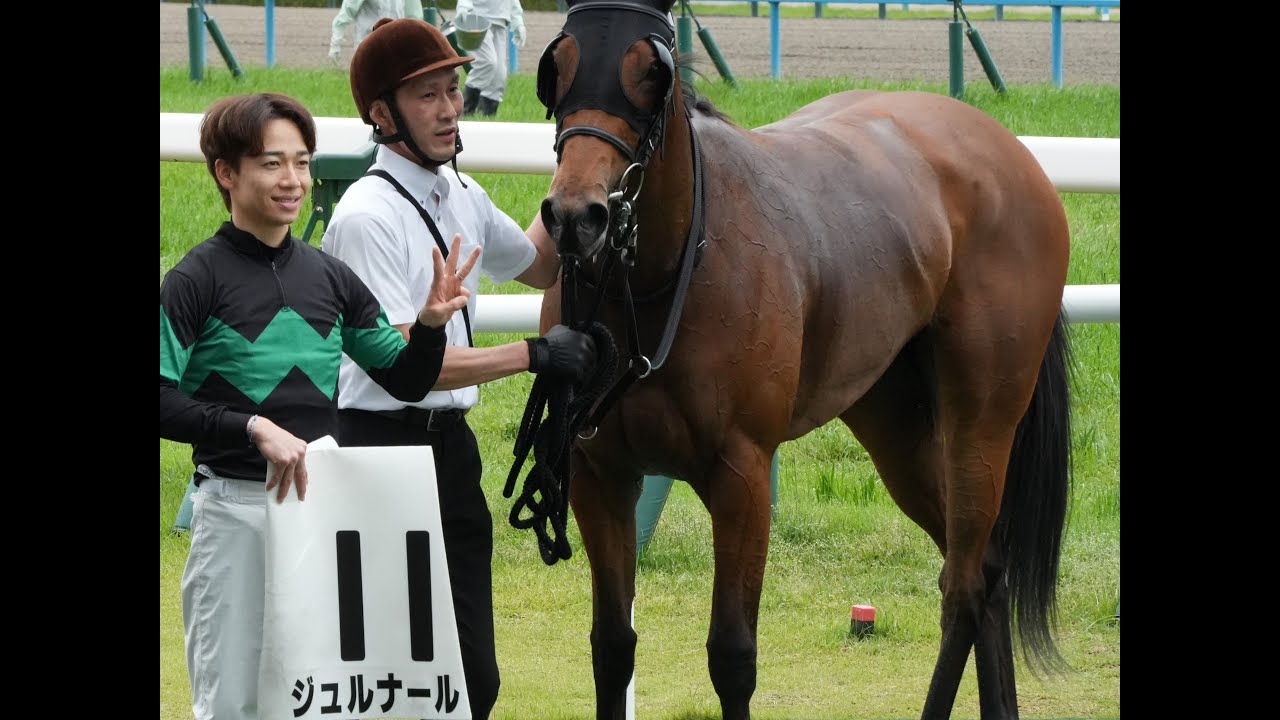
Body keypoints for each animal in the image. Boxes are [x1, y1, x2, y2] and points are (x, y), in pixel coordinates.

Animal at [525, 1, 1073, 717]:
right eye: (558, 64)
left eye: (651, 70)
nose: (575, 216)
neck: (664, 272)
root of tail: (1008, 150)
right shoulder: (601, 474)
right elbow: (612, 645)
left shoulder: (743, 476)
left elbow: (732, 656)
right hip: (894, 425)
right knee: (984, 568)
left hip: (981, 421)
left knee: (962, 584)